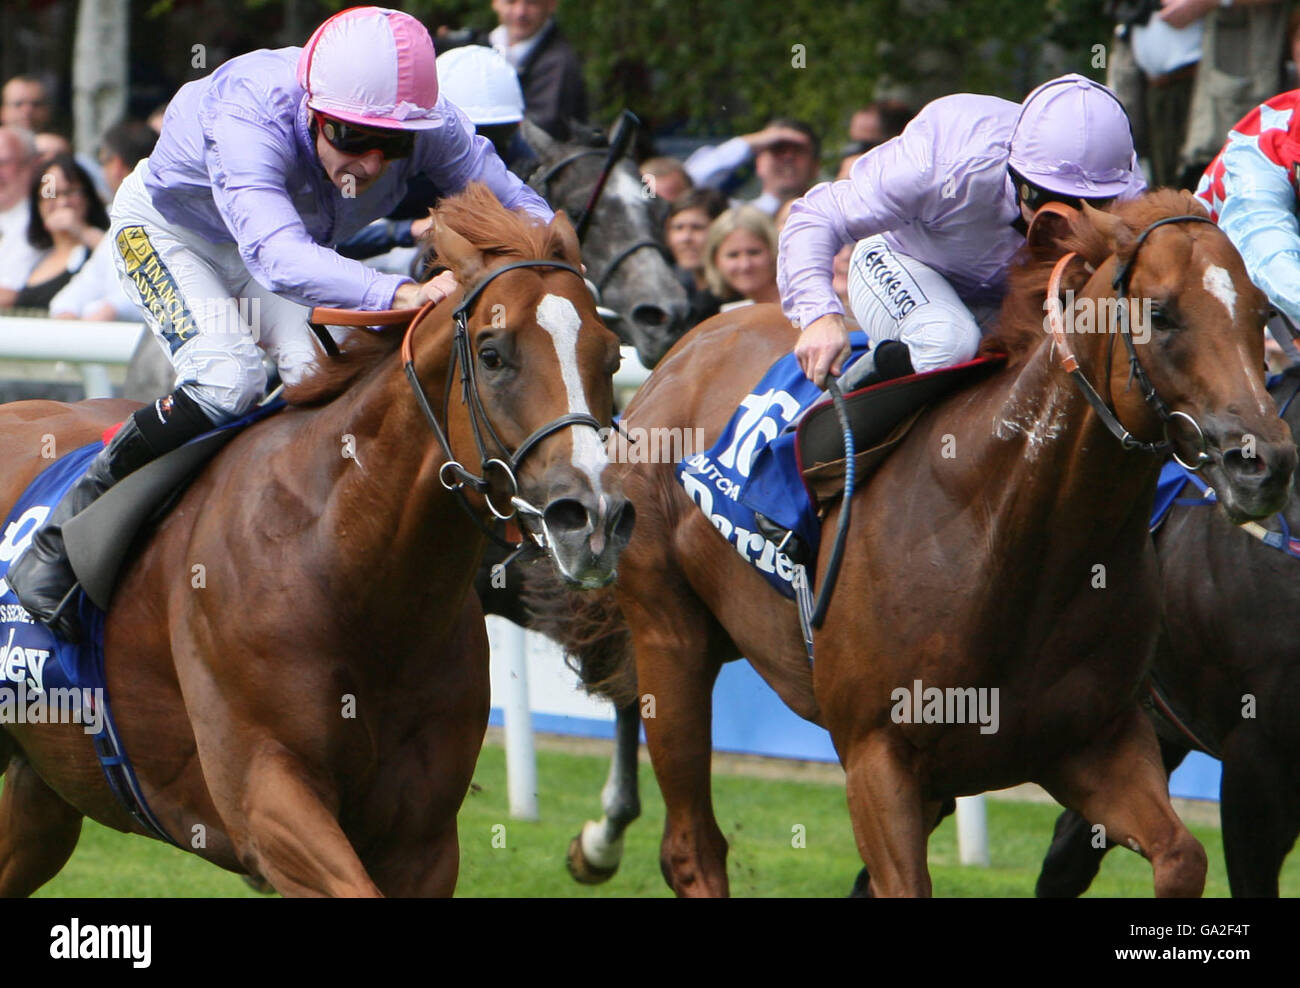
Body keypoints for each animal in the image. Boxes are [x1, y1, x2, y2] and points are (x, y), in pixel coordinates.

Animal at [0, 183, 629, 894]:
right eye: (493, 355)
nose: (592, 519)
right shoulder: (266, 799)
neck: (348, 571)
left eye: (611, 356)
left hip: (45, 786)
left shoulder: (423, 840)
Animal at [543, 191, 1294, 894]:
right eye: (1160, 314)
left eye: (1261, 313)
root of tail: (684, 350)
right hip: (670, 635)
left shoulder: (1095, 743)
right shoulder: (878, 759)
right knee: (690, 847)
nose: (1264, 463)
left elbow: (1180, 857)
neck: (1010, 530)